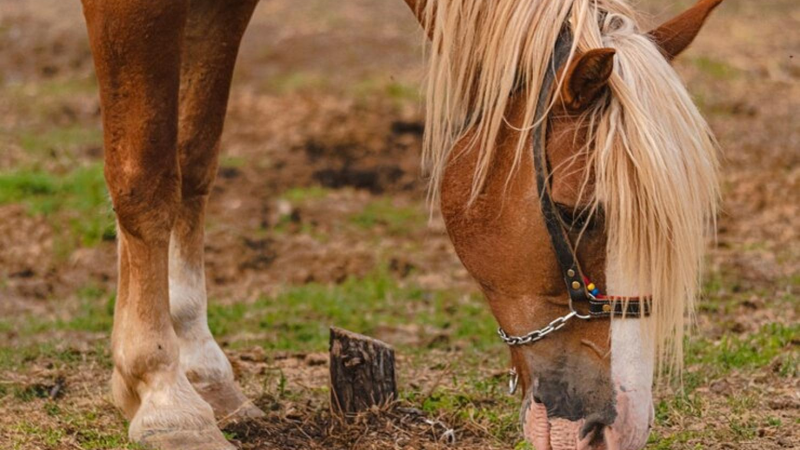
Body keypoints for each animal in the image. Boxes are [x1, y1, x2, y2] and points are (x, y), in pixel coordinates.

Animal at [79, 0, 724, 448]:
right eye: (578, 214)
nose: (619, 429)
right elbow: (145, 176)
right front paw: (162, 395)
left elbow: (192, 161)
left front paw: (203, 374)